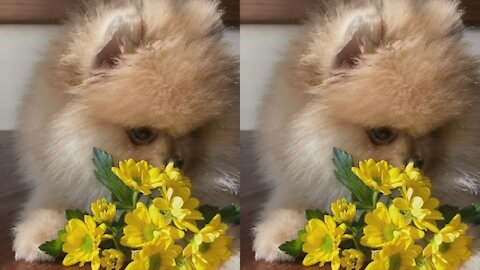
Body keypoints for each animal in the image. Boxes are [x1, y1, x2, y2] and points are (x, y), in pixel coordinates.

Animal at [14, 0, 239, 268]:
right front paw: (39, 235)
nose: (177, 161)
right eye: (141, 133)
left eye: (193, 132)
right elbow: (49, 204)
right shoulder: (58, 180)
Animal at [253, 0, 478, 266]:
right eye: (381, 133)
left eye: (433, 132)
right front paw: (279, 234)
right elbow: (289, 204)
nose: (416, 161)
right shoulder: (298, 180)